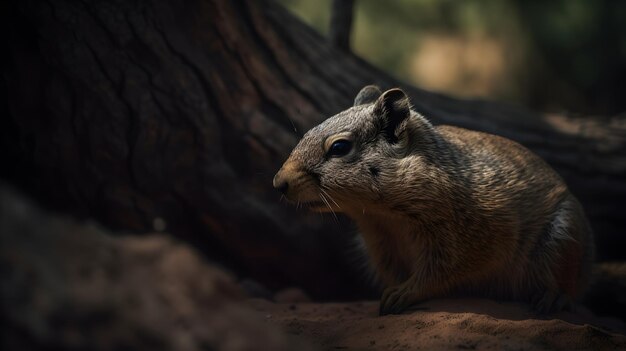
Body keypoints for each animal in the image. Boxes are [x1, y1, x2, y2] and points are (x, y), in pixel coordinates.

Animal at [274, 85, 596, 316]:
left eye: (339, 147)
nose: (279, 183)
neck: (383, 216)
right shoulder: (382, 247)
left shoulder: (456, 246)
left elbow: (434, 277)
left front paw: (402, 294)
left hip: (562, 240)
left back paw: (553, 298)